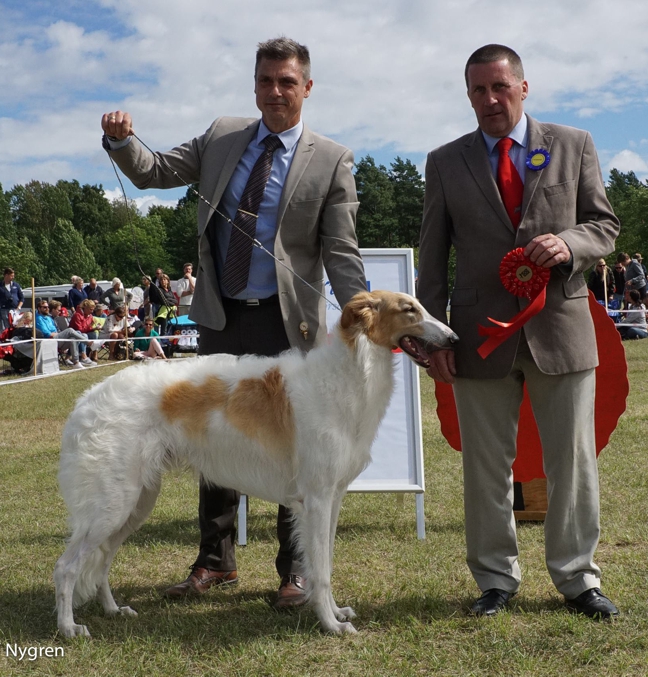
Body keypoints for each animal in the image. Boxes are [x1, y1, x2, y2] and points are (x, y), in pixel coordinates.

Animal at [55, 290, 458, 632]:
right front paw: (331, 625)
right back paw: (68, 627)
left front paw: (335, 612)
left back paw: (113, 609)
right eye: (409, 309)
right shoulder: (316, 498)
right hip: (113, 504)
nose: (454, 339)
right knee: (66, 566)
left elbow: (324, 561)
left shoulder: (333, 496)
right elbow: (322, 570)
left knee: (102, 560)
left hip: (135, 502)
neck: (346, 375)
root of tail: (86, 402)